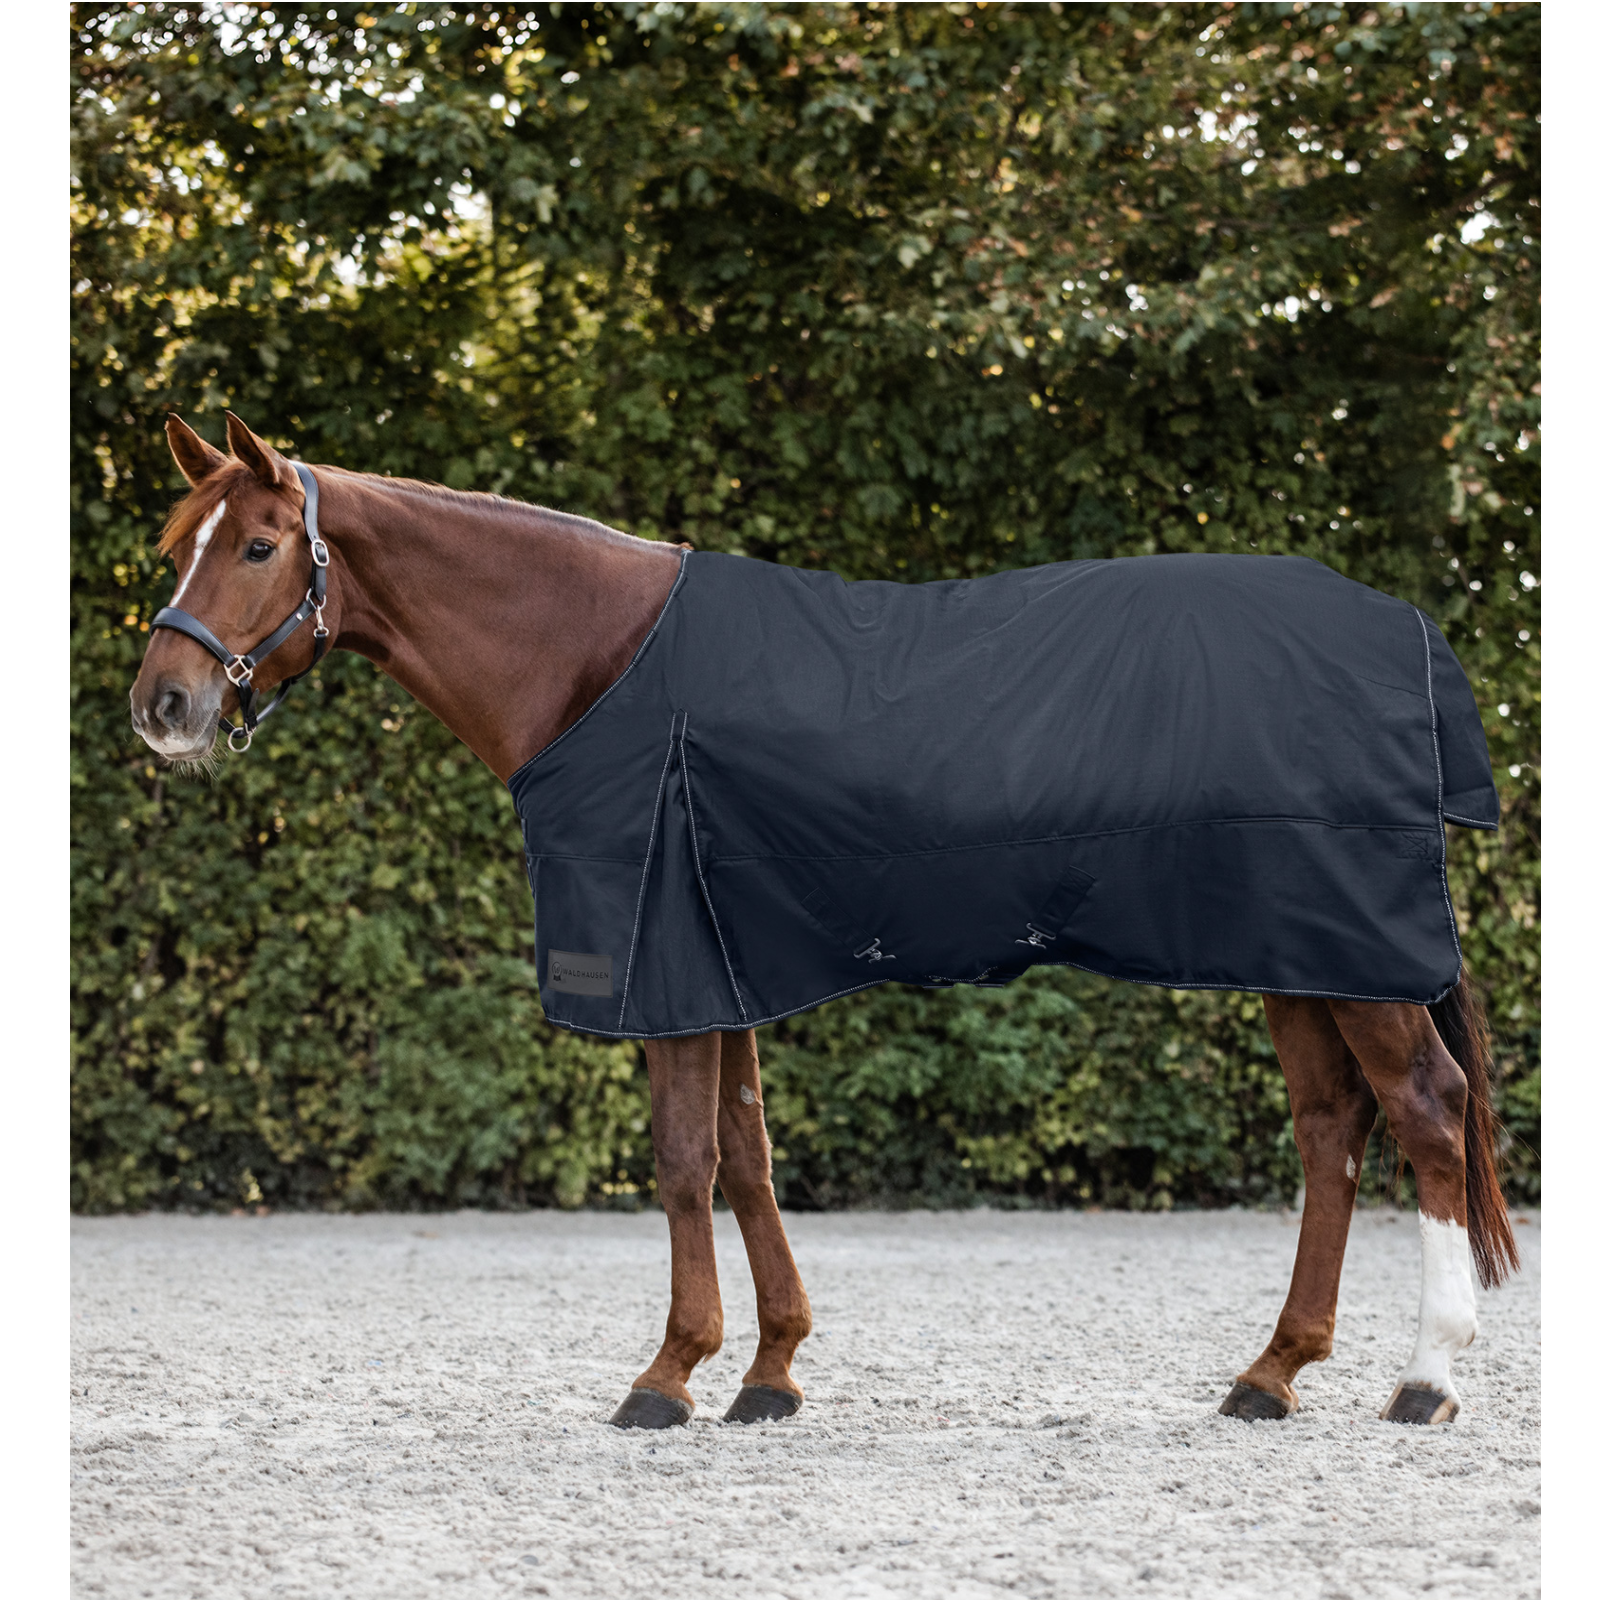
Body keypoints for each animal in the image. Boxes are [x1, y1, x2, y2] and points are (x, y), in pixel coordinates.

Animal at [129, 413, 1519, 1430]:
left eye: (258, 547)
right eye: (174, 544)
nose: (163, 705)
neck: (596, 660)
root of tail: (1404, 630)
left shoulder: (668, 962)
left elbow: (684, 1160)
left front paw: (667, 1374)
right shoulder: (717, 960)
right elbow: (746, 1156)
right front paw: (770, 1369)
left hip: (1355, 957)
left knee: (1425, 1111)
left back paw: (1427, 1378)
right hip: (1300, 951)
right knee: (1332, 1129)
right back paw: (1270, 1372)